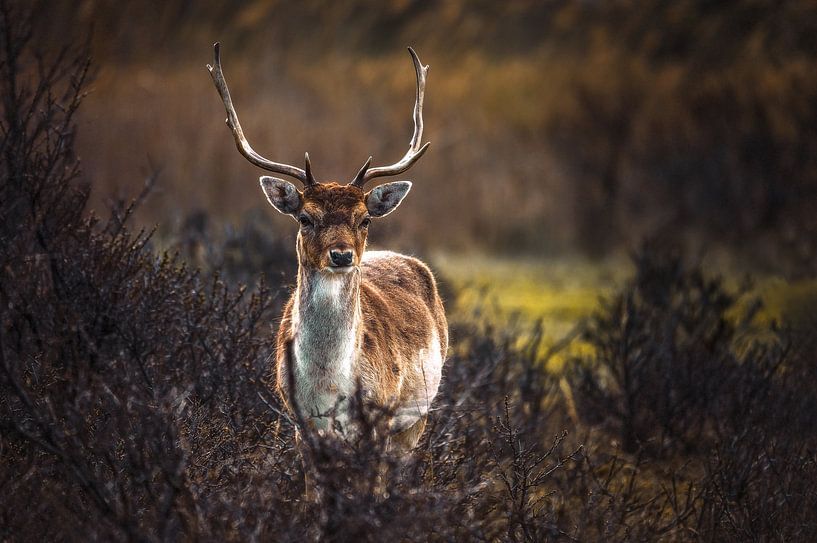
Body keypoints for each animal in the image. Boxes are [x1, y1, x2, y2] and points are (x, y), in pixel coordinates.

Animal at [207, 44, 448, 450]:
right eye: (305, 217)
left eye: (364, 219)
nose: (341, 254)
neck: (328, 389)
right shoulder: (300, 423)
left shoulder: (380, 420)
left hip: (418, 416)